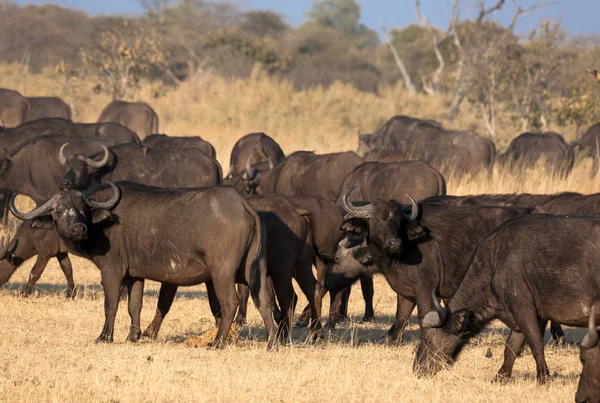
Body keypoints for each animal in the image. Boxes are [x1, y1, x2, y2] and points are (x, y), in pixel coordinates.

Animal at [8, 182, 276, 348]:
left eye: (83, 207)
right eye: (59, 210)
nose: (78, 228)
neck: (102, 226)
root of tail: (242, 203)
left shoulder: (112, 271)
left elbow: (111, 305)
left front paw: (105, 336)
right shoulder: (135, 275)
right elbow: (134, 305)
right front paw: (133, 335)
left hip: (222, 272)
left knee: (229, 302)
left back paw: (218, 342)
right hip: (257, 268)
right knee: (264, 301)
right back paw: (272, 342)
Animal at [414, 213, 600, 384]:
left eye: (426, 339)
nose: (417, 367)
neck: (494, 262)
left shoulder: (522, 309)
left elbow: (535, 344)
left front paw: (542, 377)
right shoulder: (531, 315)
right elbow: (511, 347)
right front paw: (500, 377)